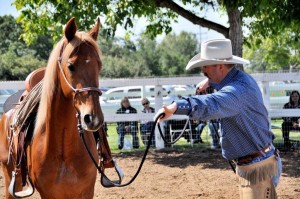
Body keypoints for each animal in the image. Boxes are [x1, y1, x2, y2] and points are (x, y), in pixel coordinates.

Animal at [0, 17, 104, 198]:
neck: (64, 150)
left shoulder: (86, 192)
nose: (93, 118)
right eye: (70, 66)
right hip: (10, 179)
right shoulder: (49, 193)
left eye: (99, 65)